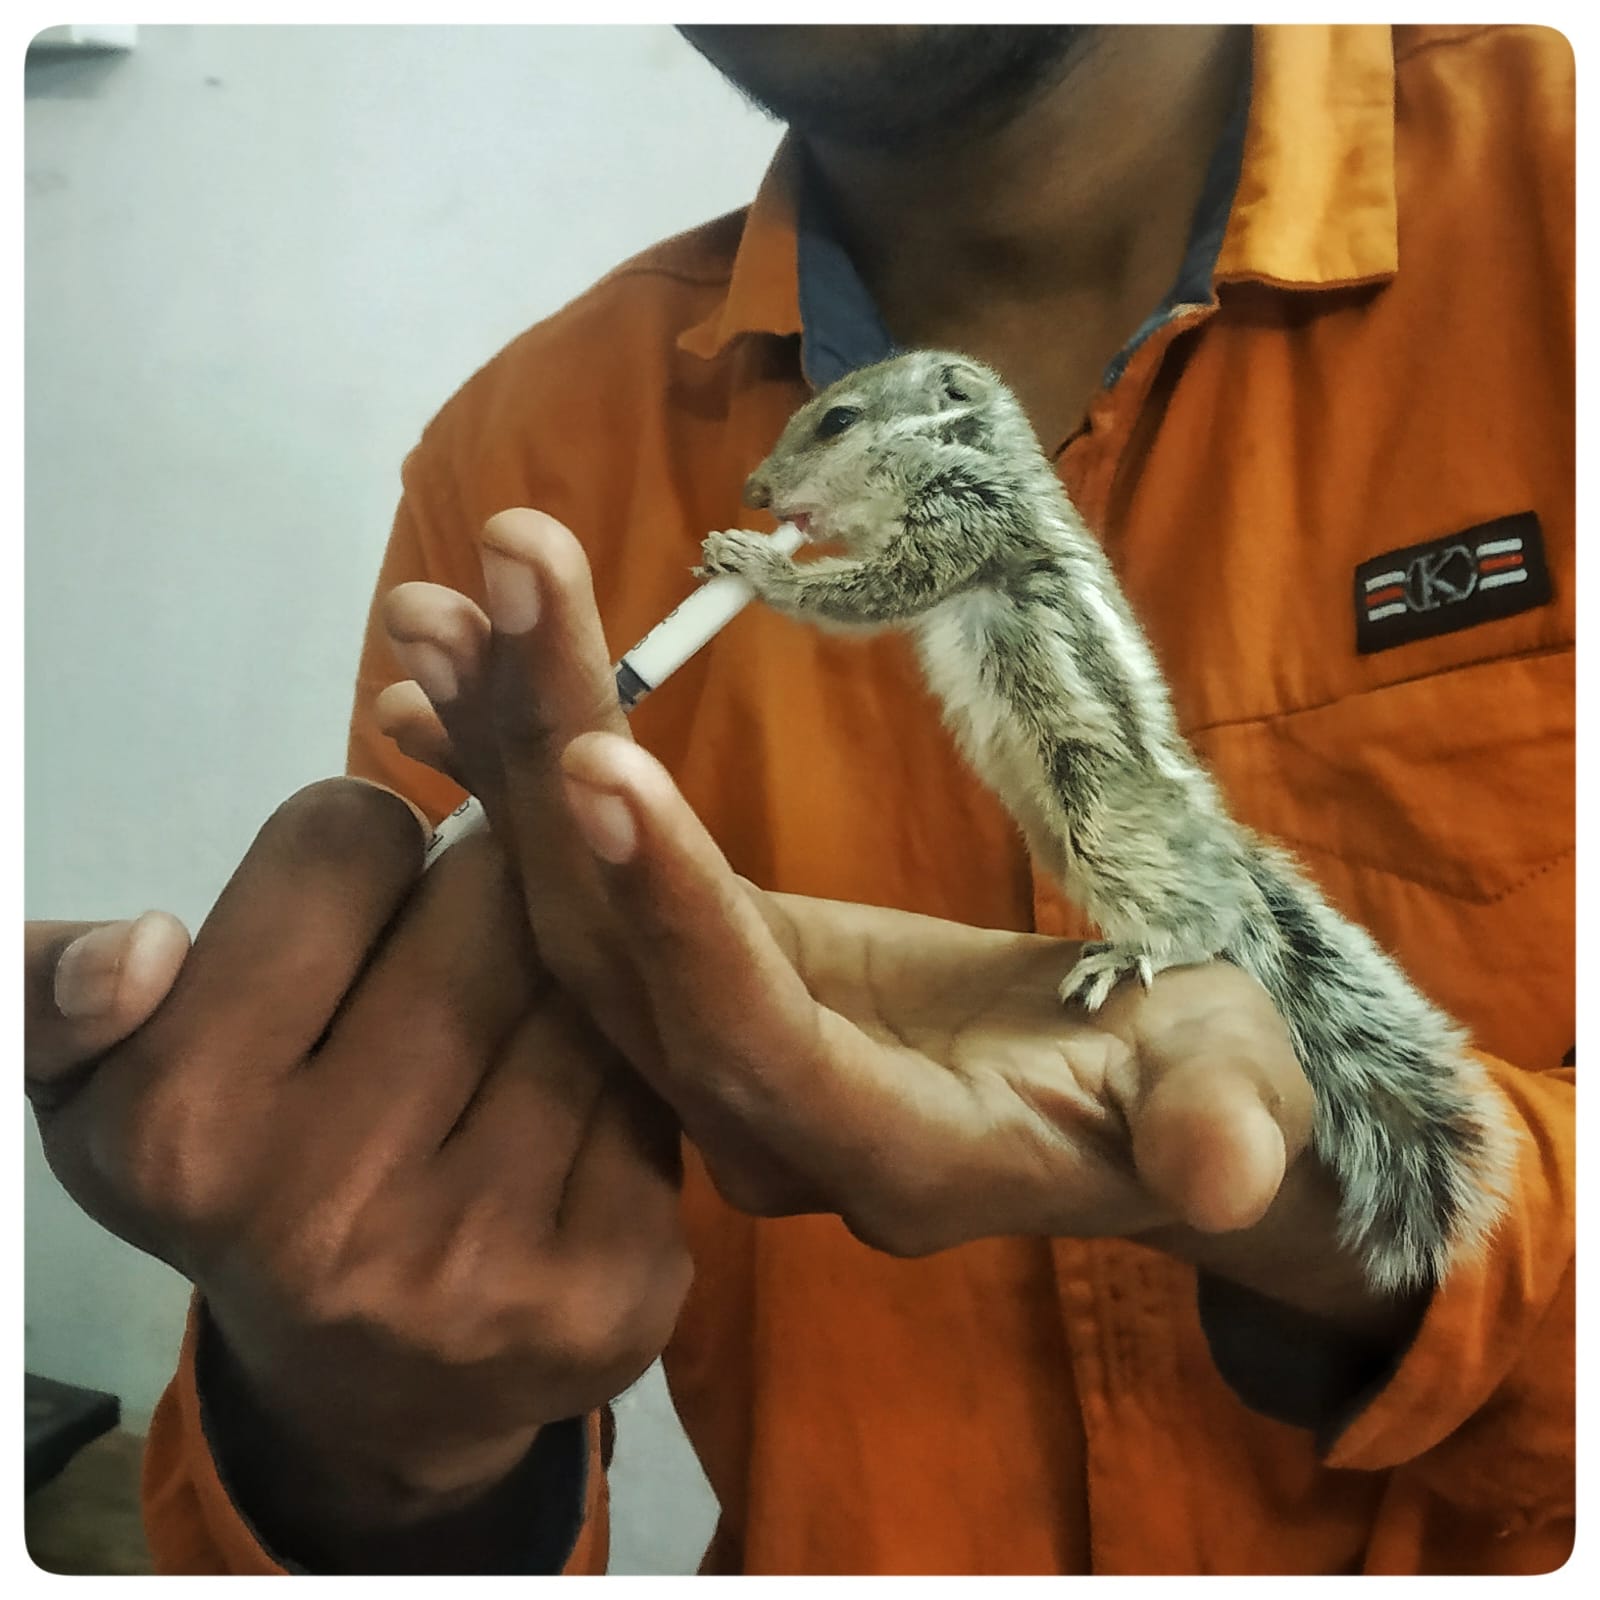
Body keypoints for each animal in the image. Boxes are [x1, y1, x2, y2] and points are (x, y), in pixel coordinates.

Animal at [697, 349, 1517, 1295]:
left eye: (837, 420)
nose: (755, 490)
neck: (968, 451)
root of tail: (1214, 840)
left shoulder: (966, 520)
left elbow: (878, 588)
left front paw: (760, 567)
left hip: (1097, 812)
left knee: (1209, 917)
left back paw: (1140, 950)